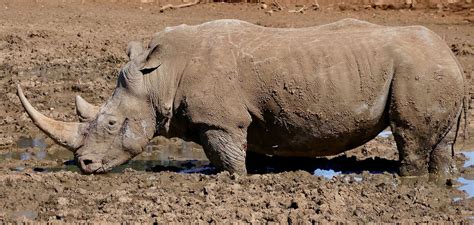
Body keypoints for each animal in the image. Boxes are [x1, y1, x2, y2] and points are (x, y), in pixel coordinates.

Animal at [16, 18, 468, 176]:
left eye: (111, 124)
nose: (84, 166)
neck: (159, 77)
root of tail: (452, 56)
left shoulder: (220, 120)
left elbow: (228, 158)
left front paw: (229, 182)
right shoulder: (235, 119)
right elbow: (246, 149)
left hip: (419, 71)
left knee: (410, 136)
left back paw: (404, 182)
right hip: (433, 71)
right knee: (440, 141)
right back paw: (437, 180)